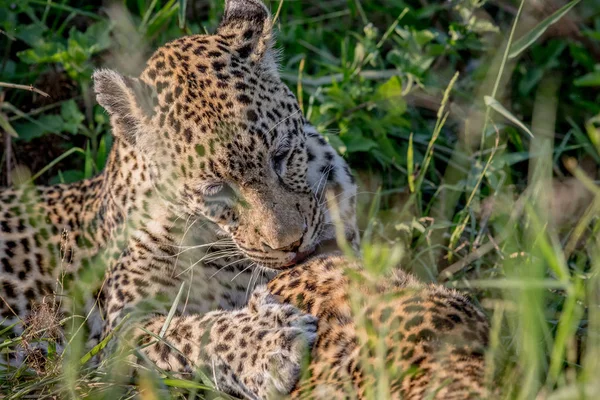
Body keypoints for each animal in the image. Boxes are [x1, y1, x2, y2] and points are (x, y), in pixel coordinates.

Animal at [0, 1, 360, 398]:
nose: (292, 244)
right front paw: (272, 342)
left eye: (280, 155)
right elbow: (193, 333)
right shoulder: (121, 330)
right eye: (216, 189)